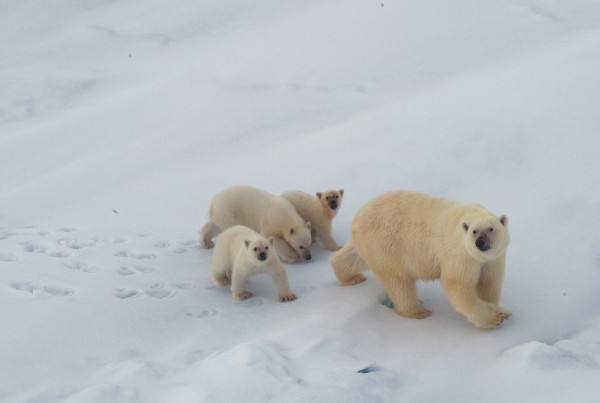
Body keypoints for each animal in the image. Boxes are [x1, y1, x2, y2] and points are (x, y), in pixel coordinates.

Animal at [328, 191, 510, 330]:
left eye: (491, 228)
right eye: (474, 231)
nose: (480, 243)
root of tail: (357, 220)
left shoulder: (494, 258)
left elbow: (489, 283)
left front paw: (502, 311)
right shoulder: (460, 254)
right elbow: (457, 284)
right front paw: (493, 319)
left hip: (370, 245)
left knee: (353, 256)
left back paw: (351, 277)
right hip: (387, 246)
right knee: (399, 282)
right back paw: (418, 311)